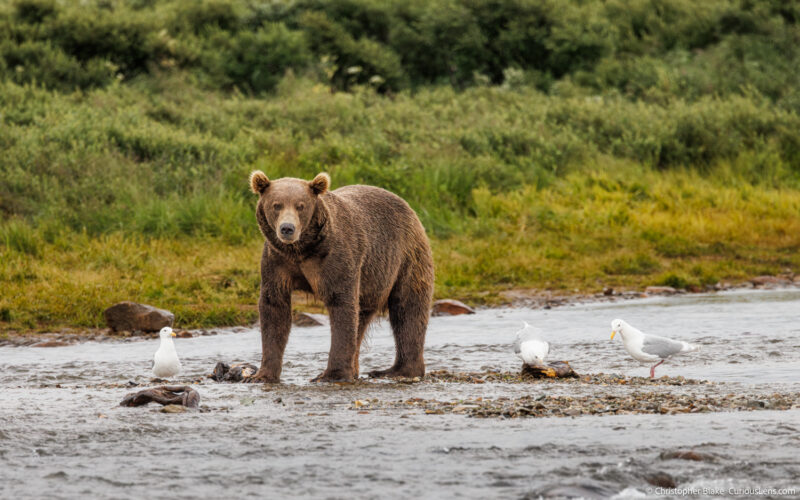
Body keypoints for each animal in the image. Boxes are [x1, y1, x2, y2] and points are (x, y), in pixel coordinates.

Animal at [250, 172, 438, 382]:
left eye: (301, 206)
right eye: (277, 205)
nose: (287, 228)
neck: (302, 251)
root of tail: (408, 207)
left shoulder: (336, 258)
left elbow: (342, 306)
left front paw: (332, 374)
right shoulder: (276, 263)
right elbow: (274, 309)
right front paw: (262, 375)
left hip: (406, 257)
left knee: (407, 309)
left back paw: (396, 370)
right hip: (372, 279)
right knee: (363, 317)